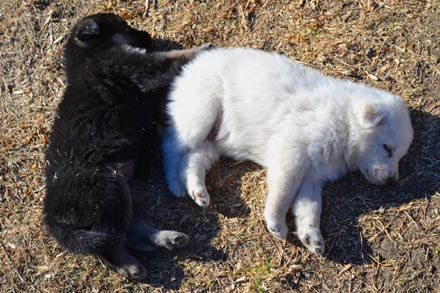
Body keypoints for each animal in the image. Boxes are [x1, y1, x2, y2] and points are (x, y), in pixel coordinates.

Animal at [43, 13, 210, 278]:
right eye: (124, 27)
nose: (149, 36)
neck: (87, 55)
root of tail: (52, 218)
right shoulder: (135, 66)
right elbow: (170, 59)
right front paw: (202, 49)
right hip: (109, 190)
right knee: (110, 244)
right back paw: (131, 263)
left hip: (124, 195)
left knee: (129, 232)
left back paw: (165, 240)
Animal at [162, 47, 412, 253]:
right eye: (387, 148)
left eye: (400, 157)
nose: (392, 181)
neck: (343, 123)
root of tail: (193, 65)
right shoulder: (291, 155)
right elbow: (283, 192)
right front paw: (276, 224)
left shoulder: (312, 177)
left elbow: (310, 207)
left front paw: (312, 237)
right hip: (200, 115)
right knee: (171, 148)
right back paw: (176, 186)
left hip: (212, 142)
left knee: (192, 159)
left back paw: (199, 193)